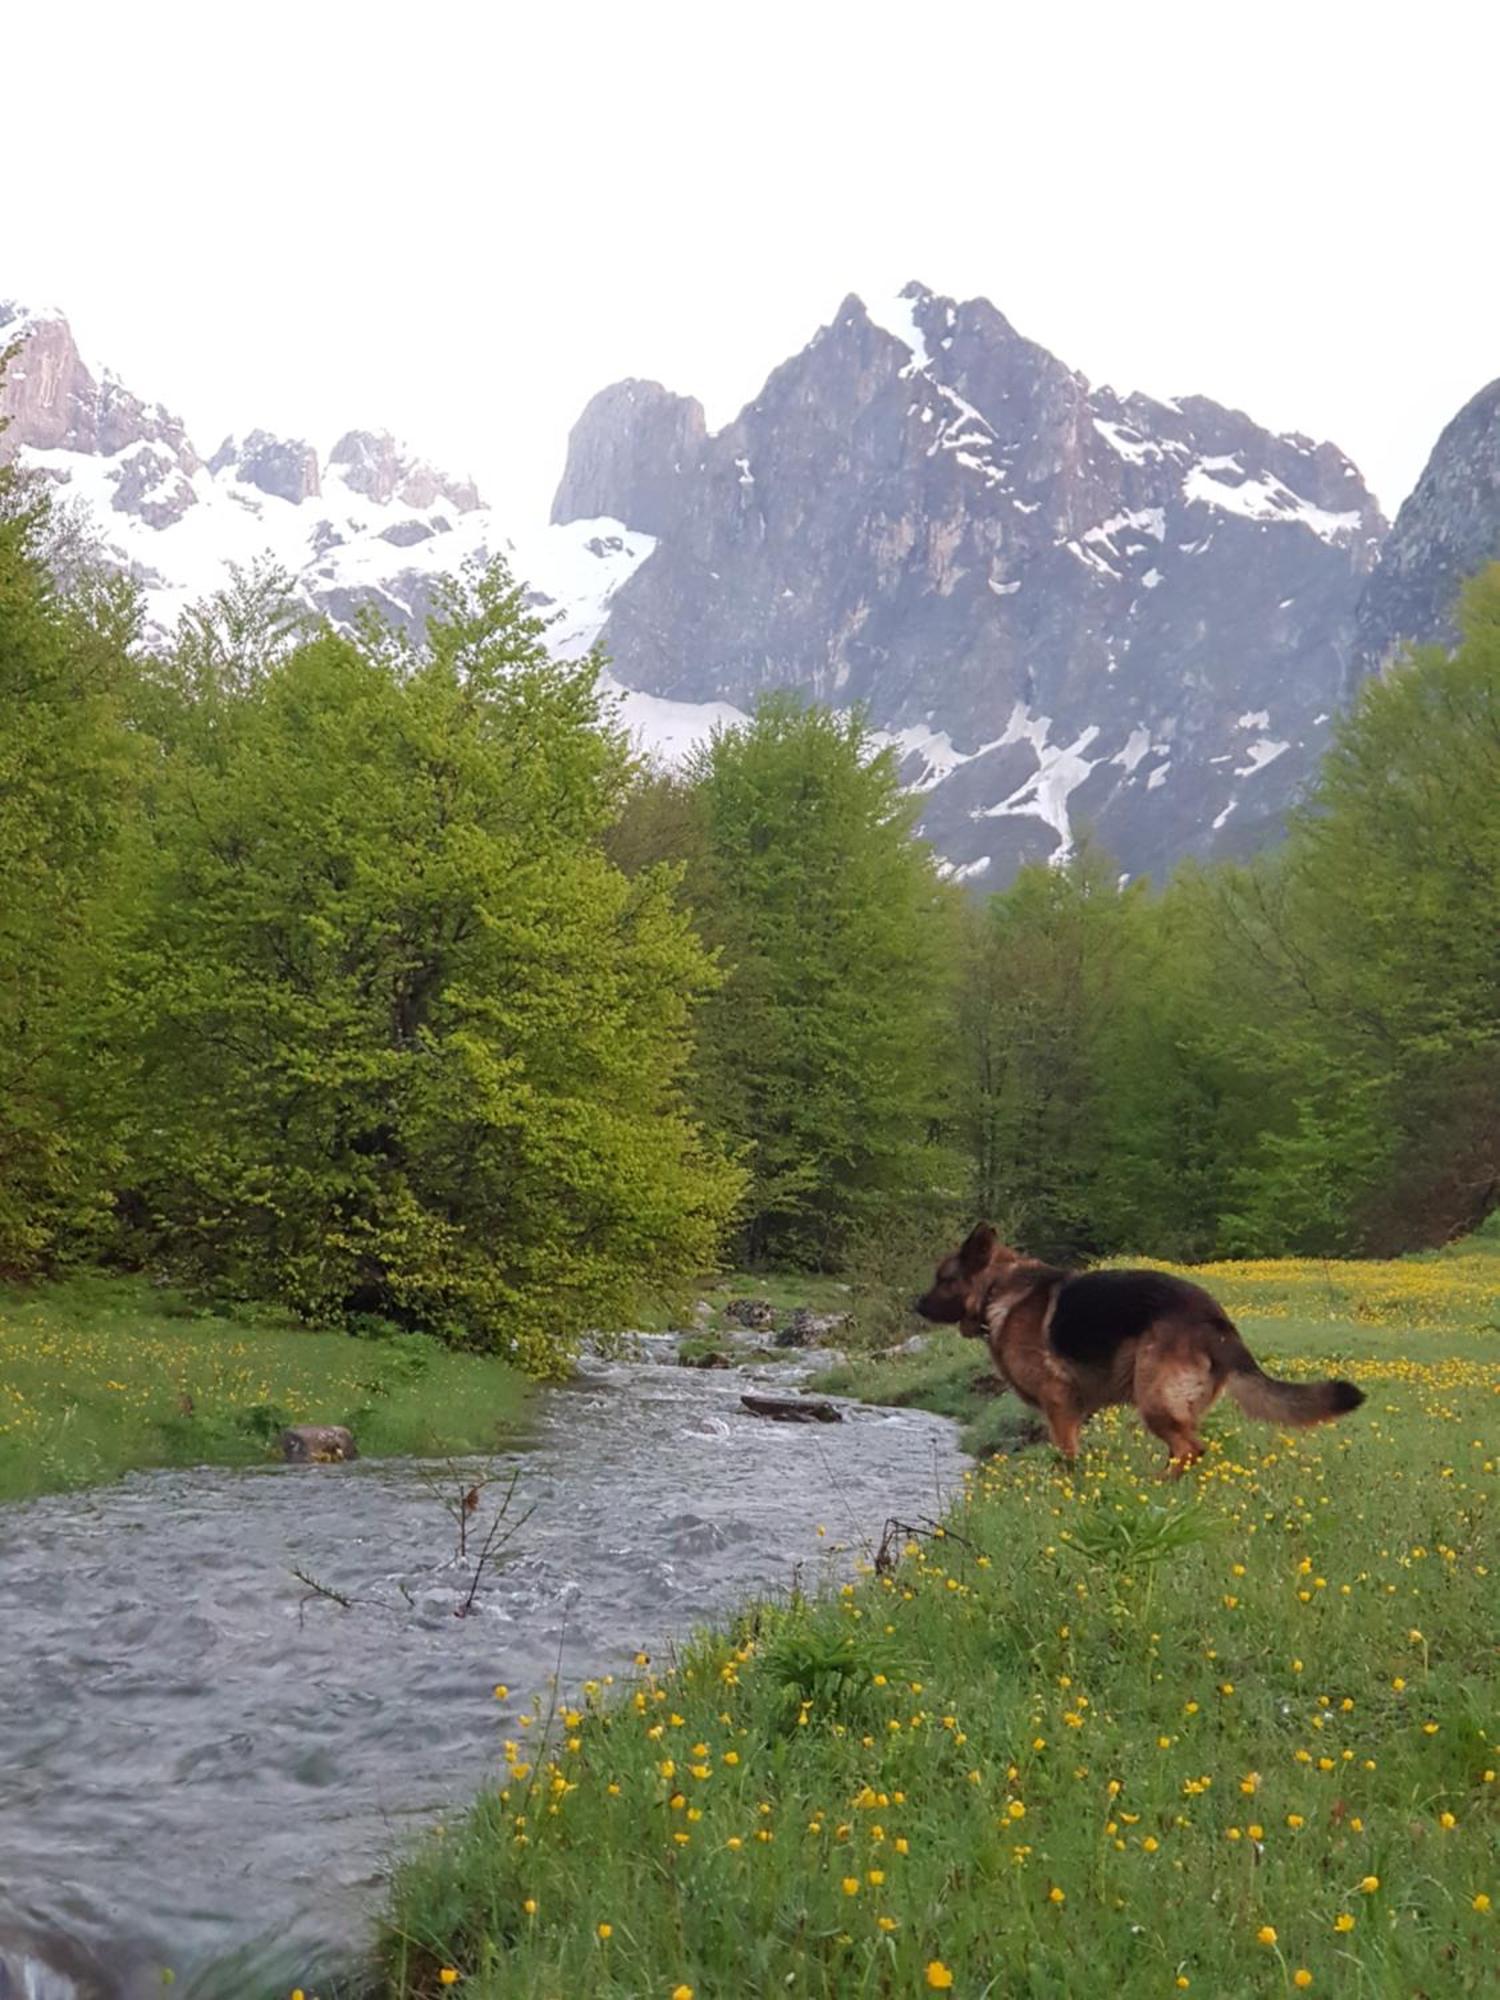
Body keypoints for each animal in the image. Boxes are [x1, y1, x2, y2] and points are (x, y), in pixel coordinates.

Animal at [912, 1216, 1368, 1472]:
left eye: (942, 1279)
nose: (914, 1304)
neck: (996, 1289)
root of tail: (1216, 1319)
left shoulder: (1058, 1401)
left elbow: (1066, 1454)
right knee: (1191, 1447)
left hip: (1153, 1397)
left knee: (1191, 1448)